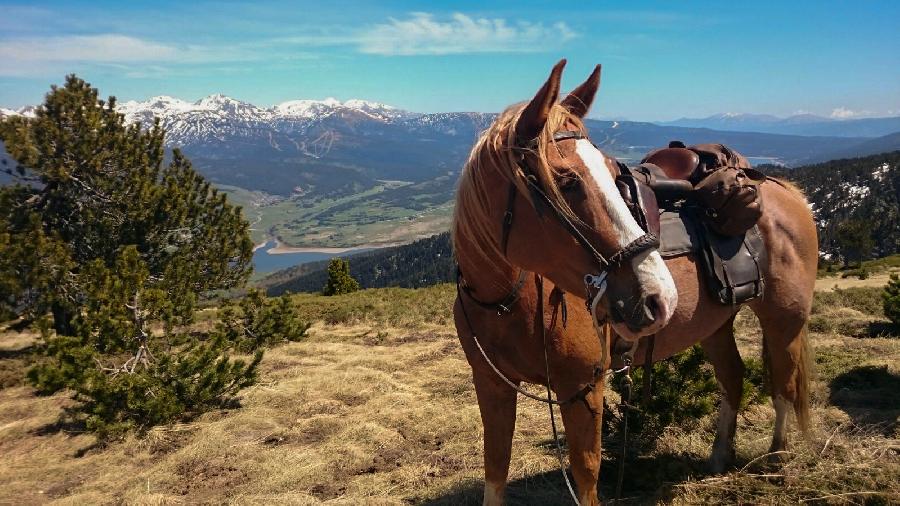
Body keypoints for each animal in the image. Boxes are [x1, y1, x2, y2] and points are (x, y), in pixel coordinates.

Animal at [454, 60, 820, 506]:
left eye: (614, 174)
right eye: (567, 181)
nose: (659, 298)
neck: (506, 302)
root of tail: (789, 192)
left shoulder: (583, 388)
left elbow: (586, 472)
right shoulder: (492, 385)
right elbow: (496, 465)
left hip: (784, 318)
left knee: (784, 384)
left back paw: (776, 461)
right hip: (716, 324)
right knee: (732, 378)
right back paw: (719, 458)